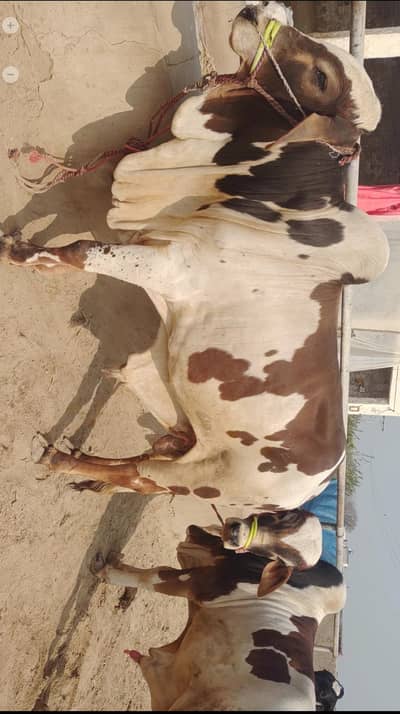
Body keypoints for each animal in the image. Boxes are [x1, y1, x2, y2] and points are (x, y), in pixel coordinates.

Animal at [0, 1, 389, 517]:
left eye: (321, 77)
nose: (258, 8)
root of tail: (313, 488)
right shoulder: (150, 235)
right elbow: (59, 223)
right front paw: (28, 247)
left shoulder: (173, 267)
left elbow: (81, 249)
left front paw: (16, 252)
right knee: (148, 459)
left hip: (206, 479)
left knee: (142, 474)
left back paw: (65, 462)